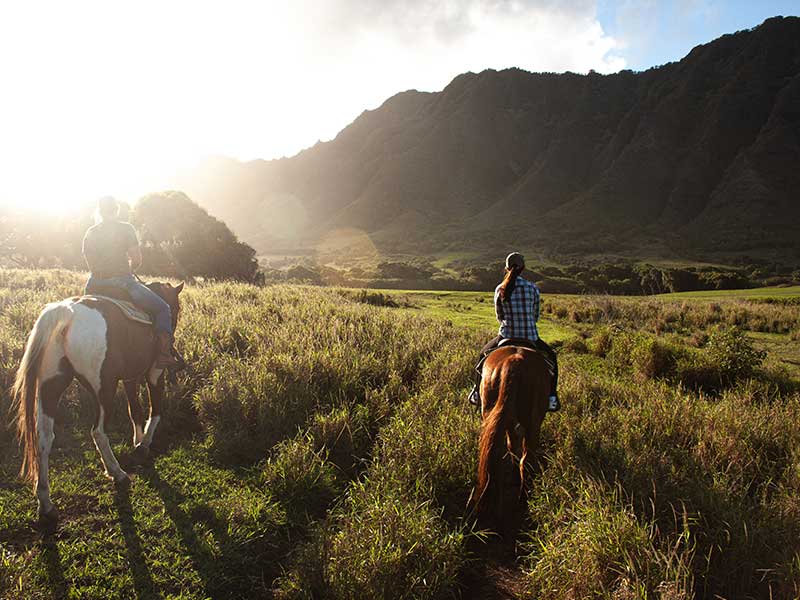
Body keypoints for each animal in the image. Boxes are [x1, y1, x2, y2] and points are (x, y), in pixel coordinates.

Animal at [11, 282, 183, 520]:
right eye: (177, 307)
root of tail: (66, 311)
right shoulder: (155, 373)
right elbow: (155, 410)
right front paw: (143, 444)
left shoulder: (130, 378)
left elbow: (135, 411)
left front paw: (137, 440)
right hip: (104, 390)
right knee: (98, 432)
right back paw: (117, 473)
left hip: (50, 386)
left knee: (44, 438)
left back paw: (45, 501)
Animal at [476, 344, 552, 516]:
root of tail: (514, 361)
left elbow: (512, 446)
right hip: (533, 421)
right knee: (527, 460)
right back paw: (523, 501)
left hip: (491, 411)